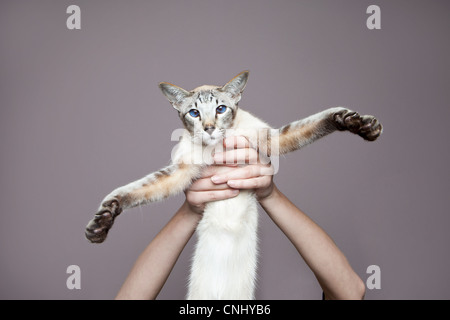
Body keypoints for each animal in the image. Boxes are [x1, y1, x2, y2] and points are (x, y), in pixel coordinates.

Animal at [83, 70, 380, 300]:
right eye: (194, 113)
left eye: (220, 109)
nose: (209, 128)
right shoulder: (179, 172)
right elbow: (133, 190)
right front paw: (99, 225)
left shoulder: (271, 138)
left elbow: (319, 120)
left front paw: (361, 124)